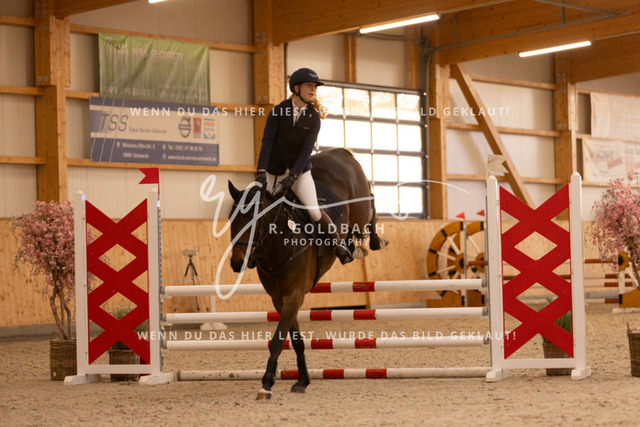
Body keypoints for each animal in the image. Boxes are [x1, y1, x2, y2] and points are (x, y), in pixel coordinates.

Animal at [227, 148, 388, 400]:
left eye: (256, 220)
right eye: (231, 218)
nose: (237, 263)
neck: (279, 244)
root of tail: (340, 153)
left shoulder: (294, 295)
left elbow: (278, 340)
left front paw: (266, 383)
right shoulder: (280, 299)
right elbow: (295, 341)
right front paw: (302, 380)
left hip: (360, 209)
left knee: (370, 206)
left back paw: (374, 241)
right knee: (353, 231)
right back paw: (349, 248)